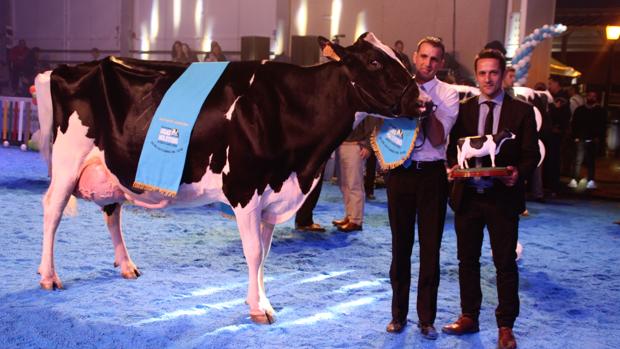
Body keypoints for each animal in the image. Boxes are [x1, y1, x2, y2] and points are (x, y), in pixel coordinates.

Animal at [34, 32, 422, 324]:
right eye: (374, 62)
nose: (423, 102)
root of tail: (67, 69)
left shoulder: (272, 196)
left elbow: (264, 254)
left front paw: (262, 301)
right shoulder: (245, 189)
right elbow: (253, 252)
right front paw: (259, 309)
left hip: (113, 169)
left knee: (112, 212)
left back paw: (127, 266)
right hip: (68, 161)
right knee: (52, 209)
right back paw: (49, 276)